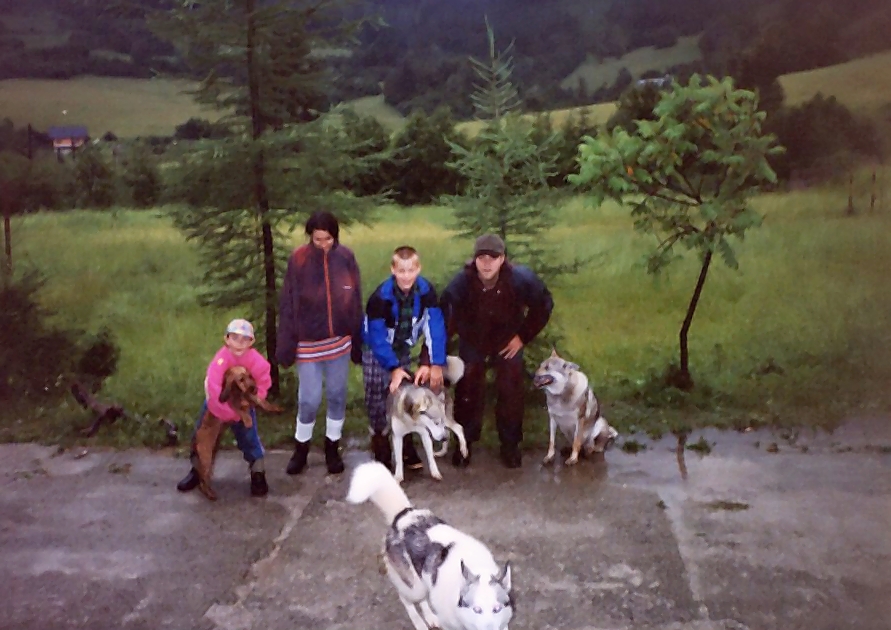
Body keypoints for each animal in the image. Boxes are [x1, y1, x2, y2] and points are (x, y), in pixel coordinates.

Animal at [347, 461, 514, 630]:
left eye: (497, 609)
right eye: (477, 610)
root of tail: (403, 514)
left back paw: (430, 617)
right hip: (414, 587)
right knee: (406, 599)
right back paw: (419, 622)